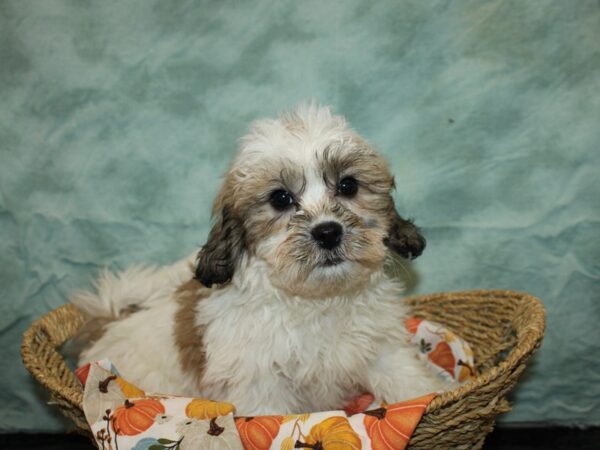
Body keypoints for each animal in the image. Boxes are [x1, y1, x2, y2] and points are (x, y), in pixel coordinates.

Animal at [72, 104, 452, 414]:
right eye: (280, 198)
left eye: (348, 186)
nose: (328, 232)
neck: (318, 303)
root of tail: (108, 323)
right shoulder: (260, 384)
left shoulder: (381, 348)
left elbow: (405, 378)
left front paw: (432, 394)